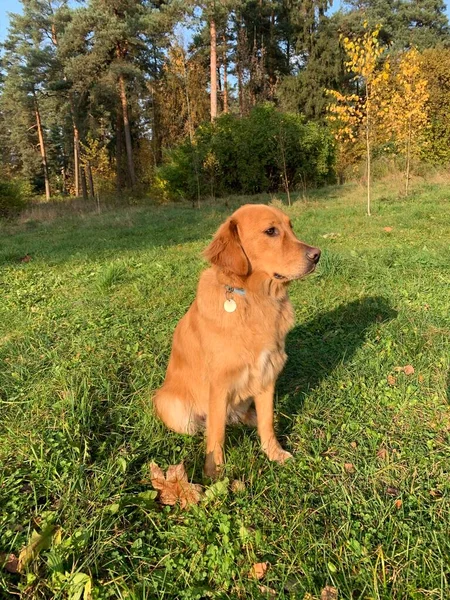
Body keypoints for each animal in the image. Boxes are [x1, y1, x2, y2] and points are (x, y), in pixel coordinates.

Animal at [155, 204, 320, 476]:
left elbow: (267, 422)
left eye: (291, 227)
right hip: (174, 409)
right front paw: (214, 474)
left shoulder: (266, 374)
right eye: (271, 231)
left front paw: (273, 453)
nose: (317, 255)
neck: (255, 298)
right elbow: (216, 435)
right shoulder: (219, 386)